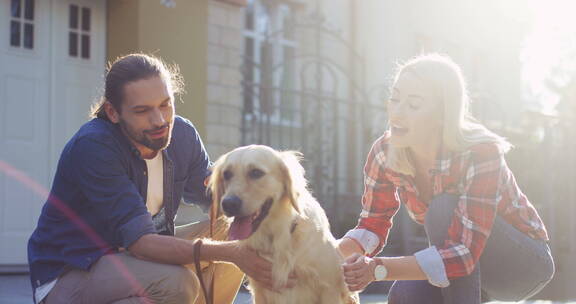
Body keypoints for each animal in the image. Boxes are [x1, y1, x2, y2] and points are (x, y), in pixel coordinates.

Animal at [209, 145, 358, 304]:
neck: (278, 235)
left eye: (256, 172)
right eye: (227, 174)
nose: (228, 203)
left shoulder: (330, 288)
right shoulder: (260, 290)